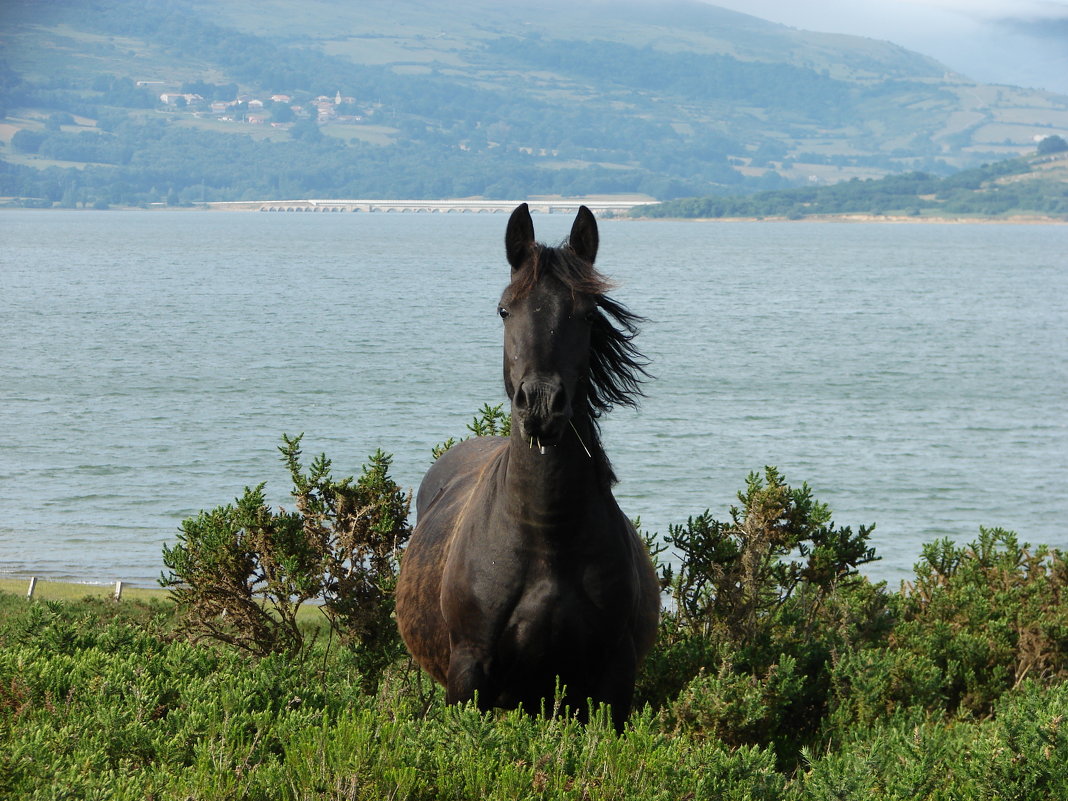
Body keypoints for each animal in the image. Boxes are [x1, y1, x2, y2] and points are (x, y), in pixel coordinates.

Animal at [395, 201, 657, 734]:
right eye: (504, 309)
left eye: (588, 313)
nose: (540, 404)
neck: (546, 536)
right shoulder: (468, 674)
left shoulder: (611, 680)